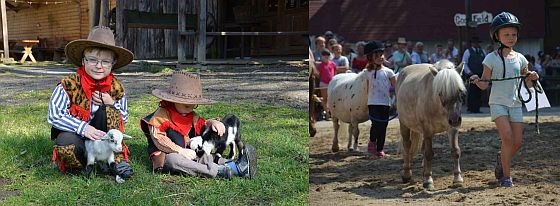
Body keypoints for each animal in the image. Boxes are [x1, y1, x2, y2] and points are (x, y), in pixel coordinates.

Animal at [396, 59, 466, 190]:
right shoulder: (427, 129)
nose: (455, 119)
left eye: (460, 91)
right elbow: (429, 154)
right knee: (407, 146)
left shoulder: (452, 129)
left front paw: (457, 179)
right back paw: (407, 174)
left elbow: (455, 151)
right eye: (440, 93)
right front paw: (428, 181)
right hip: (404, 124)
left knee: (422, 149)